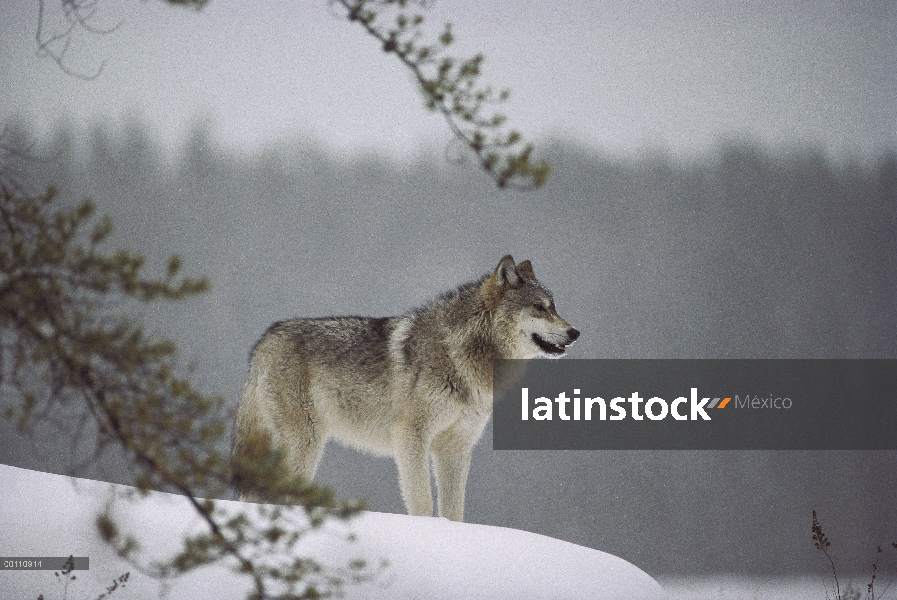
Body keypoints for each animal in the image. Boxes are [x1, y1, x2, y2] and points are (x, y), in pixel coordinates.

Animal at [233, 253, 580, 520]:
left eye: (554, 306)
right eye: (539, 308)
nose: (575, 332)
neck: (461, 354)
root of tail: (264, 341)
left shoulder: (456, 448)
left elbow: (454, 510)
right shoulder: (410, 436)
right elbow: (423, 501)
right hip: (306, 443)